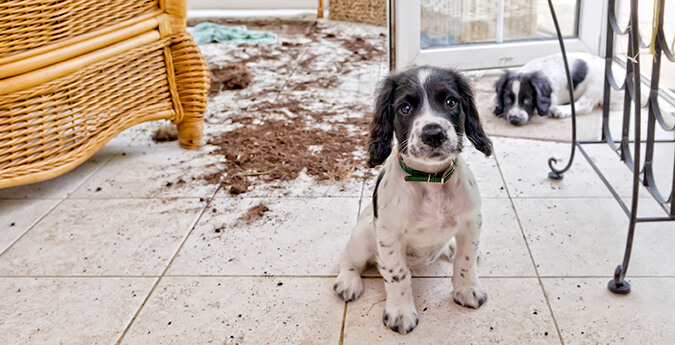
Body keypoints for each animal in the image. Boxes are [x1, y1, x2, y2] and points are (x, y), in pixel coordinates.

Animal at [332, 66, 492, 334]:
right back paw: (348, 281)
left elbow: (466, 260)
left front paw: (467, 289)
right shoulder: (389, 235)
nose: (434, 134)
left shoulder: (472, 221)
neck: (431, 181)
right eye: (405, 108)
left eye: (451, 102)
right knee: (347, 258)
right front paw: (400, 313)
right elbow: (398, 275)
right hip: (363, 236)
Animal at [492, 52, 624, 125]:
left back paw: (559, 111)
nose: (514, 119)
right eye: (507, 99)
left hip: (597, 84)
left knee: (585, 105)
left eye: (527, 100)